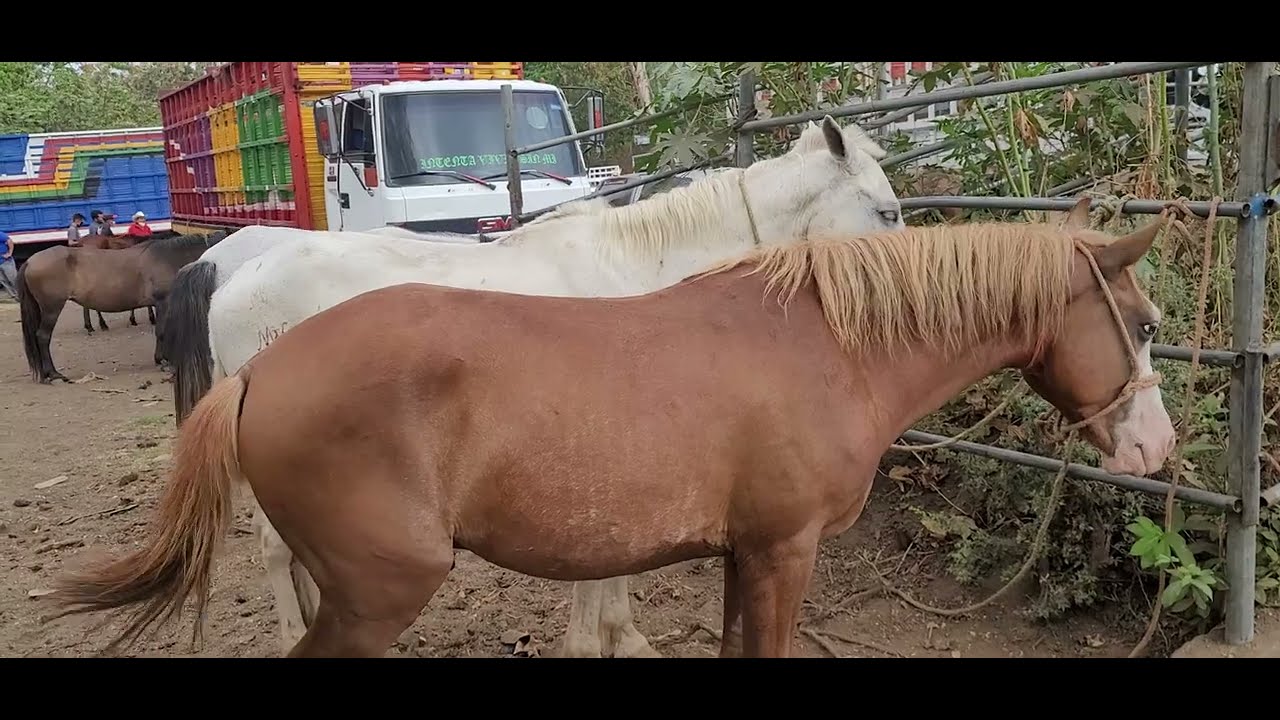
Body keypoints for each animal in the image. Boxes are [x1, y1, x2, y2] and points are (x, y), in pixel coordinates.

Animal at [17, 232, 225, 384]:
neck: (169, 258)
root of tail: (30, 260)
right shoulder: (162, 302)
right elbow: (161, 331)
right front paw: (164, 361)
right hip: (52, 308)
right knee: (43, 337)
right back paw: (53, 374)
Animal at [43, 203, 1176, 658]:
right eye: (1147, 323)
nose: (1157, 452)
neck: (821, 344)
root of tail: (262, 369)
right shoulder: (784, 553)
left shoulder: (742, 555)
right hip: (380, 592)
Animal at [165, 115, 906, 659]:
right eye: (887, 211)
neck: (641, 272)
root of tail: (231, 275)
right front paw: (602, 639)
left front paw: (625, 636)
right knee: (272, 553)